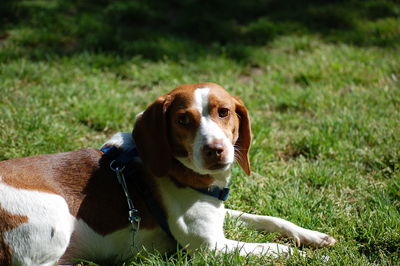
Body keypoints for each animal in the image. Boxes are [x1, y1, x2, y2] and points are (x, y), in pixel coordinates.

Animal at [0, 82, 336, 264]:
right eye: (183, 120)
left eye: (224, 112)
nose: (215, 149)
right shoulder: (211, 247)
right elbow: (273, 248)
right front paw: (307, 257)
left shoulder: (217, 213)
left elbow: (269, 219)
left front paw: (313, 237)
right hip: (55, 211)